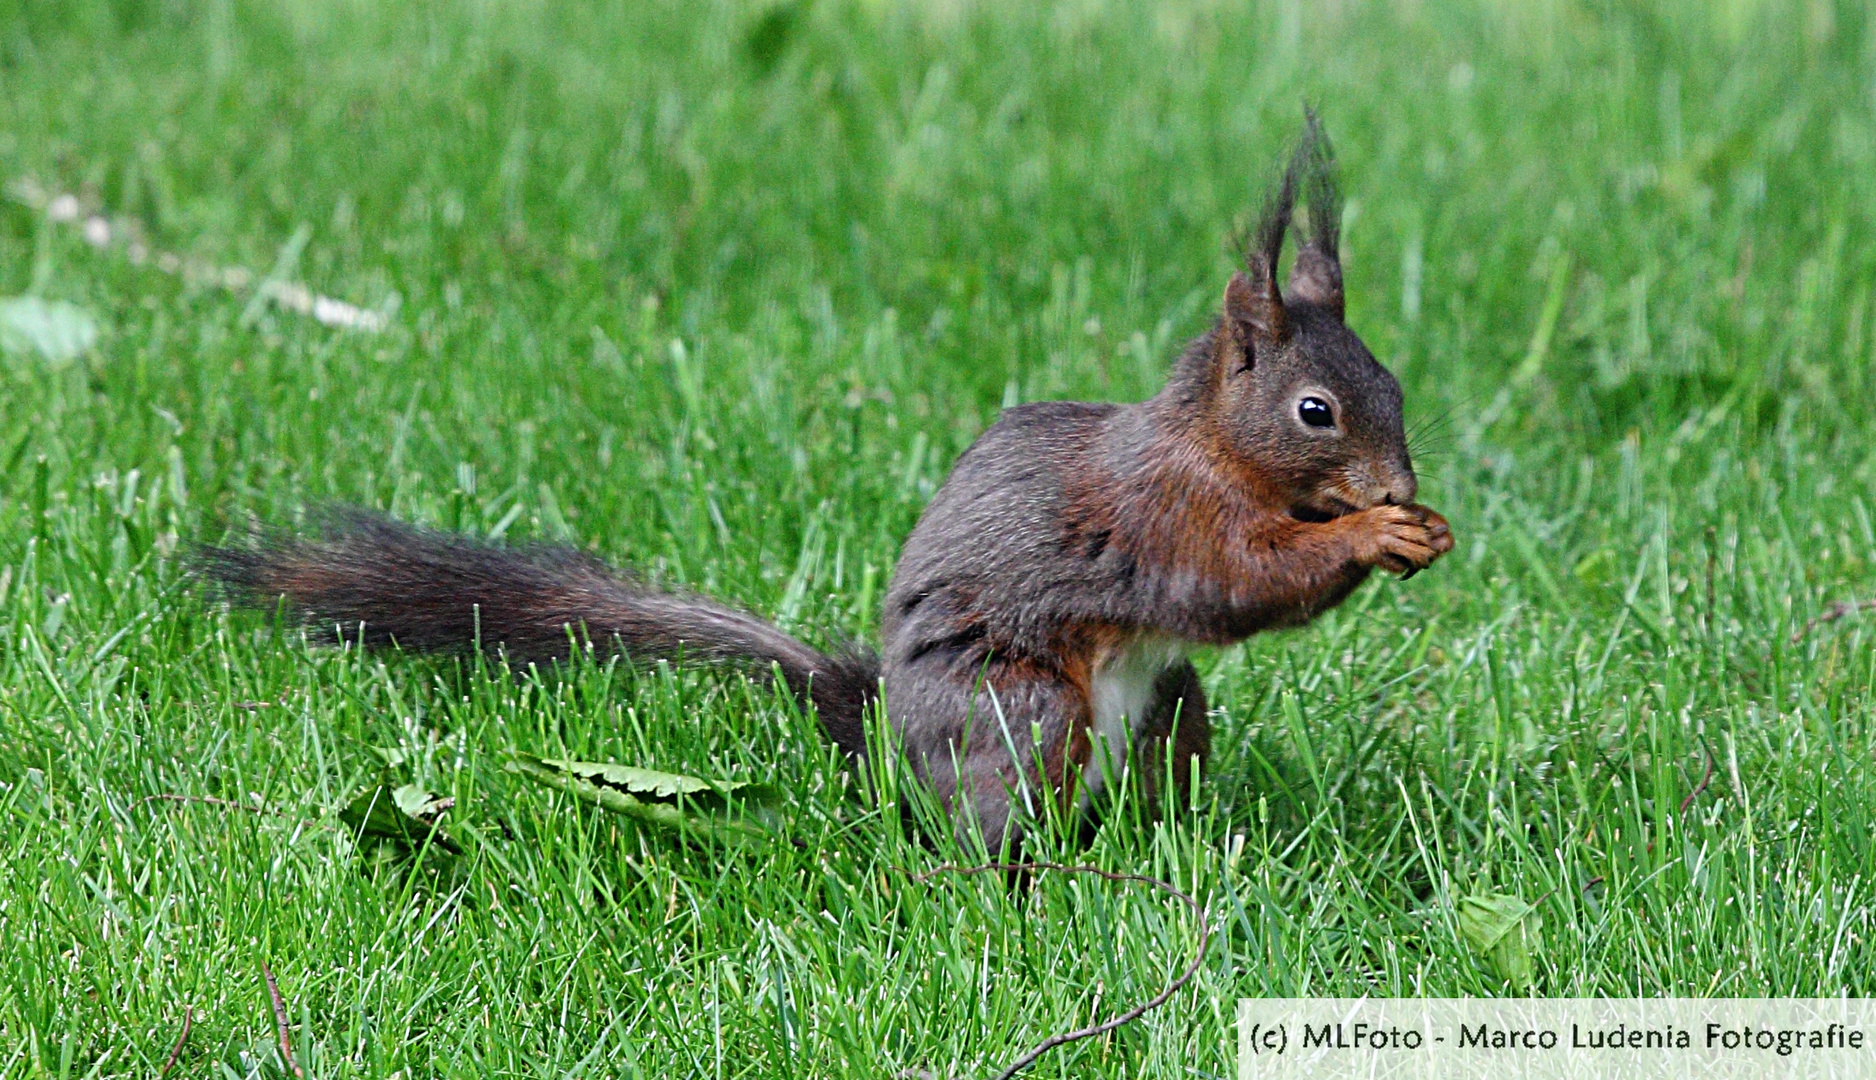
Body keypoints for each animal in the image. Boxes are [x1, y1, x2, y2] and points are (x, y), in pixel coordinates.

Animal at [197, 118, 1448, 855]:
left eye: (1390, 381)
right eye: (1316, 411)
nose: (1399, 478)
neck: (1210, 446)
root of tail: (888, 734)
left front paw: (1415, 522)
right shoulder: (1159, 514)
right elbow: (1233, 583)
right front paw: (1376, 536)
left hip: (1167, 711)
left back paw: (1169, 855)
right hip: (1021, 710)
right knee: (998, 833)